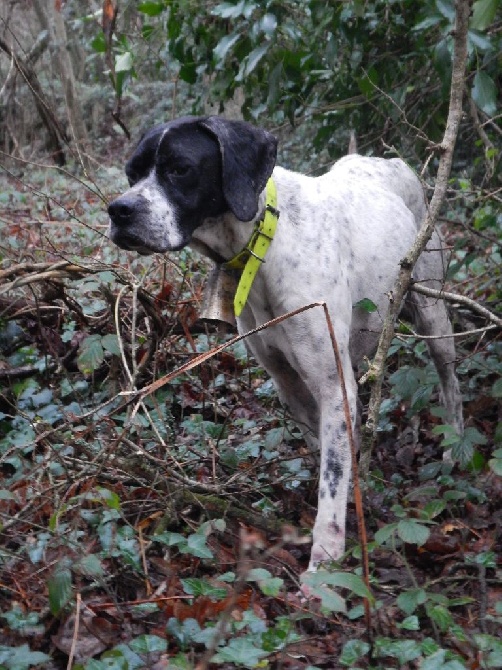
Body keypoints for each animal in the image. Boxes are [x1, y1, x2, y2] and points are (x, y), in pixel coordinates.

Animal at [108, 117, 464, 572]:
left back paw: (454, 448)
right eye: (131, 173)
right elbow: (324, 453)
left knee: (450, 383)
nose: (119, 210)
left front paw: (324, 564)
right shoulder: (288, 383)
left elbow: (332, 481)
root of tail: (387, 160)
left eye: (180, 169)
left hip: (434, 313)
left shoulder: (333, 387)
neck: (266, 243)